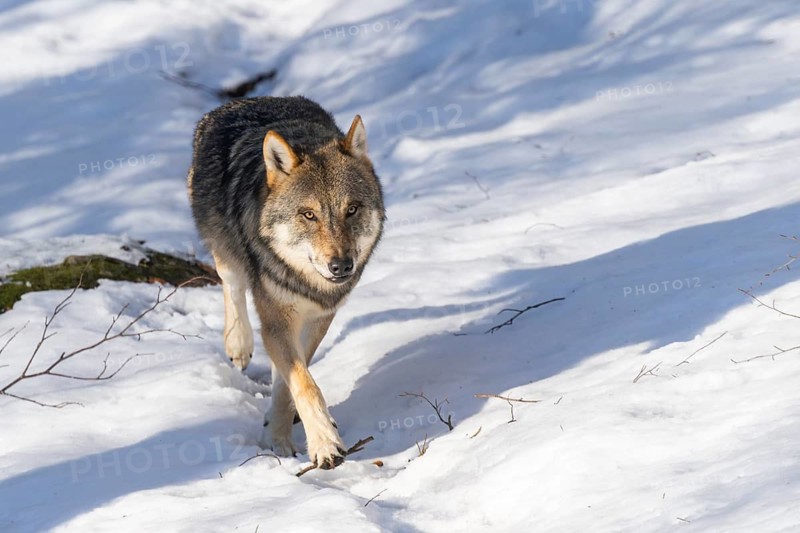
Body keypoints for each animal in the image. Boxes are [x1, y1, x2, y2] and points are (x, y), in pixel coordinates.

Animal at [188, 96, 385, 469]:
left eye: (352, 209)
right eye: (309, 215)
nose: (341, 266)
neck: (306, 282)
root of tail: (248, 99)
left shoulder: (318, 318)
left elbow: (290, 381)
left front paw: (277, 436)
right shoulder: (277, 319)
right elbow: (304, 384)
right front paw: (324, 443)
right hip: (224, 251)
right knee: (232, 287)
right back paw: (238, 344)